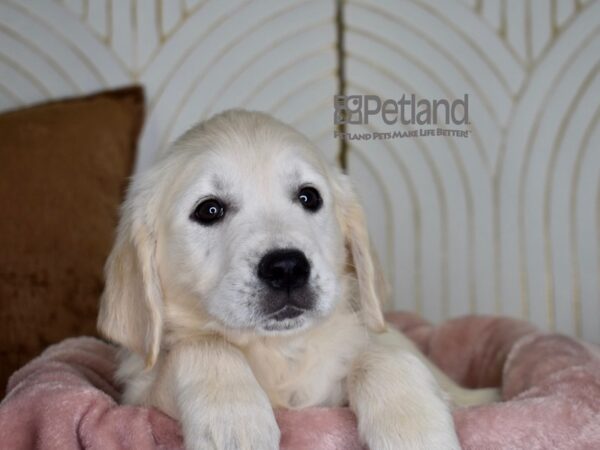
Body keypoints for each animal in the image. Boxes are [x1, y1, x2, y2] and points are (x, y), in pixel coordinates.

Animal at [98, 110, 500, 450]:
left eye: (309, 197)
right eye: (209, 209)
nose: (287, 268)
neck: (278, 352)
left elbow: (379, 355)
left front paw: (415, 430)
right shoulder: (138, 396)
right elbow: (203, 344)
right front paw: (235, 422)